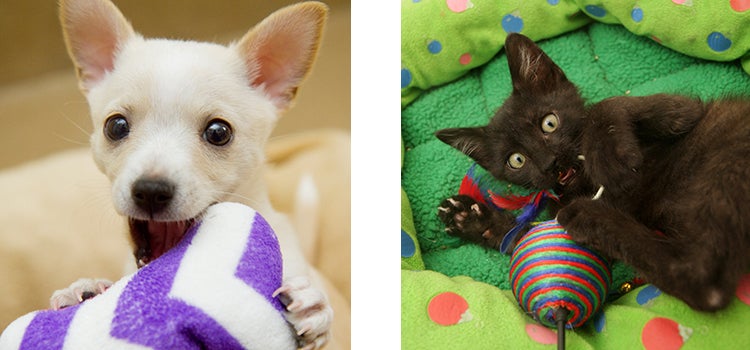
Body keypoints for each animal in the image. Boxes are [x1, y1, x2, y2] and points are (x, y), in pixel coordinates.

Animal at [438, 32, 748, 312]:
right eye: (516, 160)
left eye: (549, 123)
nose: (550, 163)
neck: (583, 184)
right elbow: (524, 236)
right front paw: (470, 217)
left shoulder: (682, 111)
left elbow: (608, 105)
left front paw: (608, 159)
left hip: (727, 153)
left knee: (707, 283)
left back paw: (588, 213)